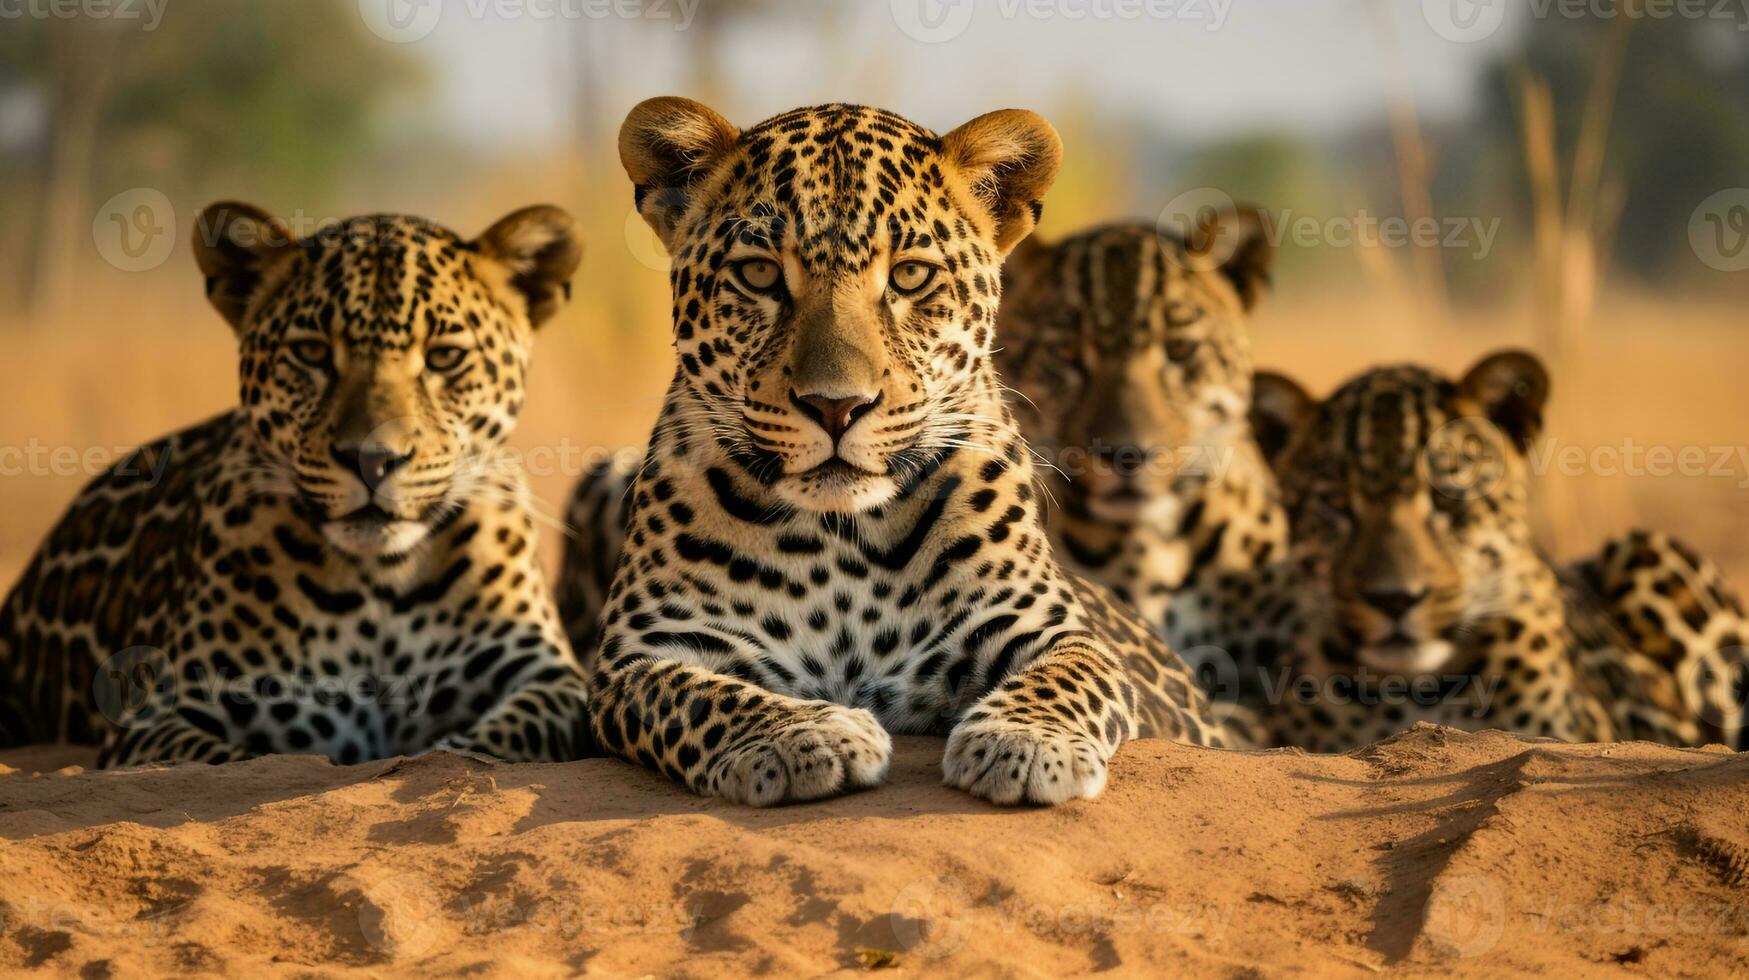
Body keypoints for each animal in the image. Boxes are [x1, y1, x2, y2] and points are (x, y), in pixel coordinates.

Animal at [0, 203, 594, 766]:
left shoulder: (548, 678)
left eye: (445, 357)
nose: (372, 460)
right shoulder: (159, 717)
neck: (382, 583)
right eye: (311, 353)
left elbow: (501, 736)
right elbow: (229, 762)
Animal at [566, 95, 1238, 808]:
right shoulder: (642, 652)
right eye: (759, 273)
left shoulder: (1047, 624)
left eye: (911, 276)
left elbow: (1068, 675)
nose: (836, 406)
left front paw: (1026, 742)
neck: (837, 538)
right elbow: (701, 696)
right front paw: (806, 736)